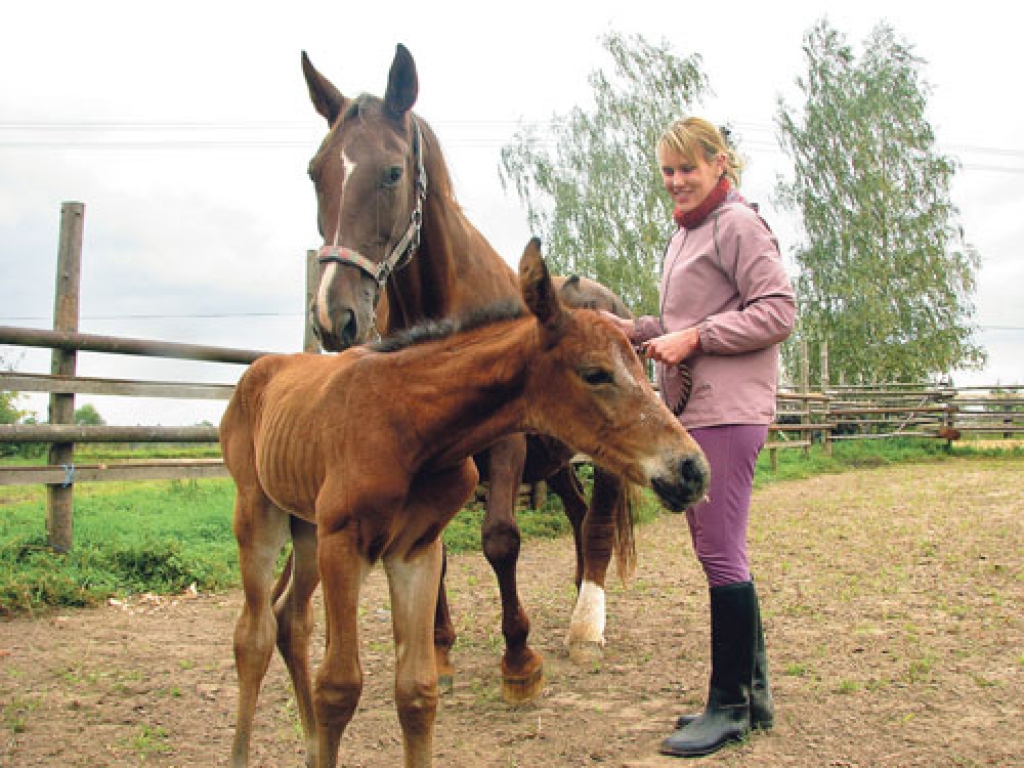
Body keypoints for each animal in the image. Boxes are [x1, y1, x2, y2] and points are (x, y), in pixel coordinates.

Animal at [221, 240, 708, 768]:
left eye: (641, 365)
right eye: (595, 373)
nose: (692, 469)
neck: (409, 422)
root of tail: (259, 370)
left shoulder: (413, 549)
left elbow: (416, 691)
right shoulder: (345, 544)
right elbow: (338, 688)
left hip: (306, 528)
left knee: (290, 620)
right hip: (261, 515)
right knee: (254, 634)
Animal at [301, 45, 638, 700]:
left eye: (392, 173)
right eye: (315, 172)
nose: (334, 315)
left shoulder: (504, 447)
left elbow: (500, 539)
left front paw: (520, 660)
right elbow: (430, 547)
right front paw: (439, 651)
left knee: (599, 523)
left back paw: (588, 624)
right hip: (557, 459)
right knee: (578, 513)